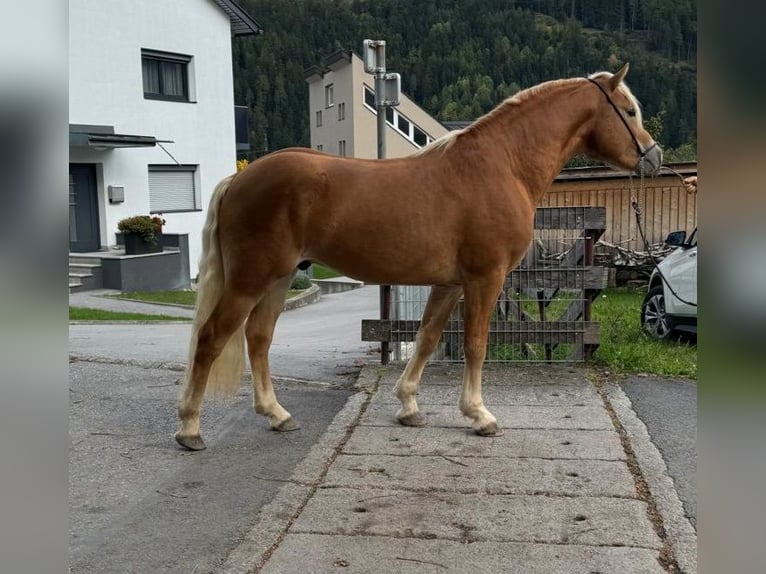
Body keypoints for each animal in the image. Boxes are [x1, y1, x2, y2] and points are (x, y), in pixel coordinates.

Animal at [174, 62, 660, 450]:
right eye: (629, 111)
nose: (653, 157)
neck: (502, 164)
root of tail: (238, 179)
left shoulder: (450, 283)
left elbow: (427, 337)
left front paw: (409, 406)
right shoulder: (485, 277)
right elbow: (476, 344)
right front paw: (479, 415)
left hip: (277, 279)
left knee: (258, 338)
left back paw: (277, 415)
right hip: (250, 278)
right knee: (211, 338)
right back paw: (190, 429)